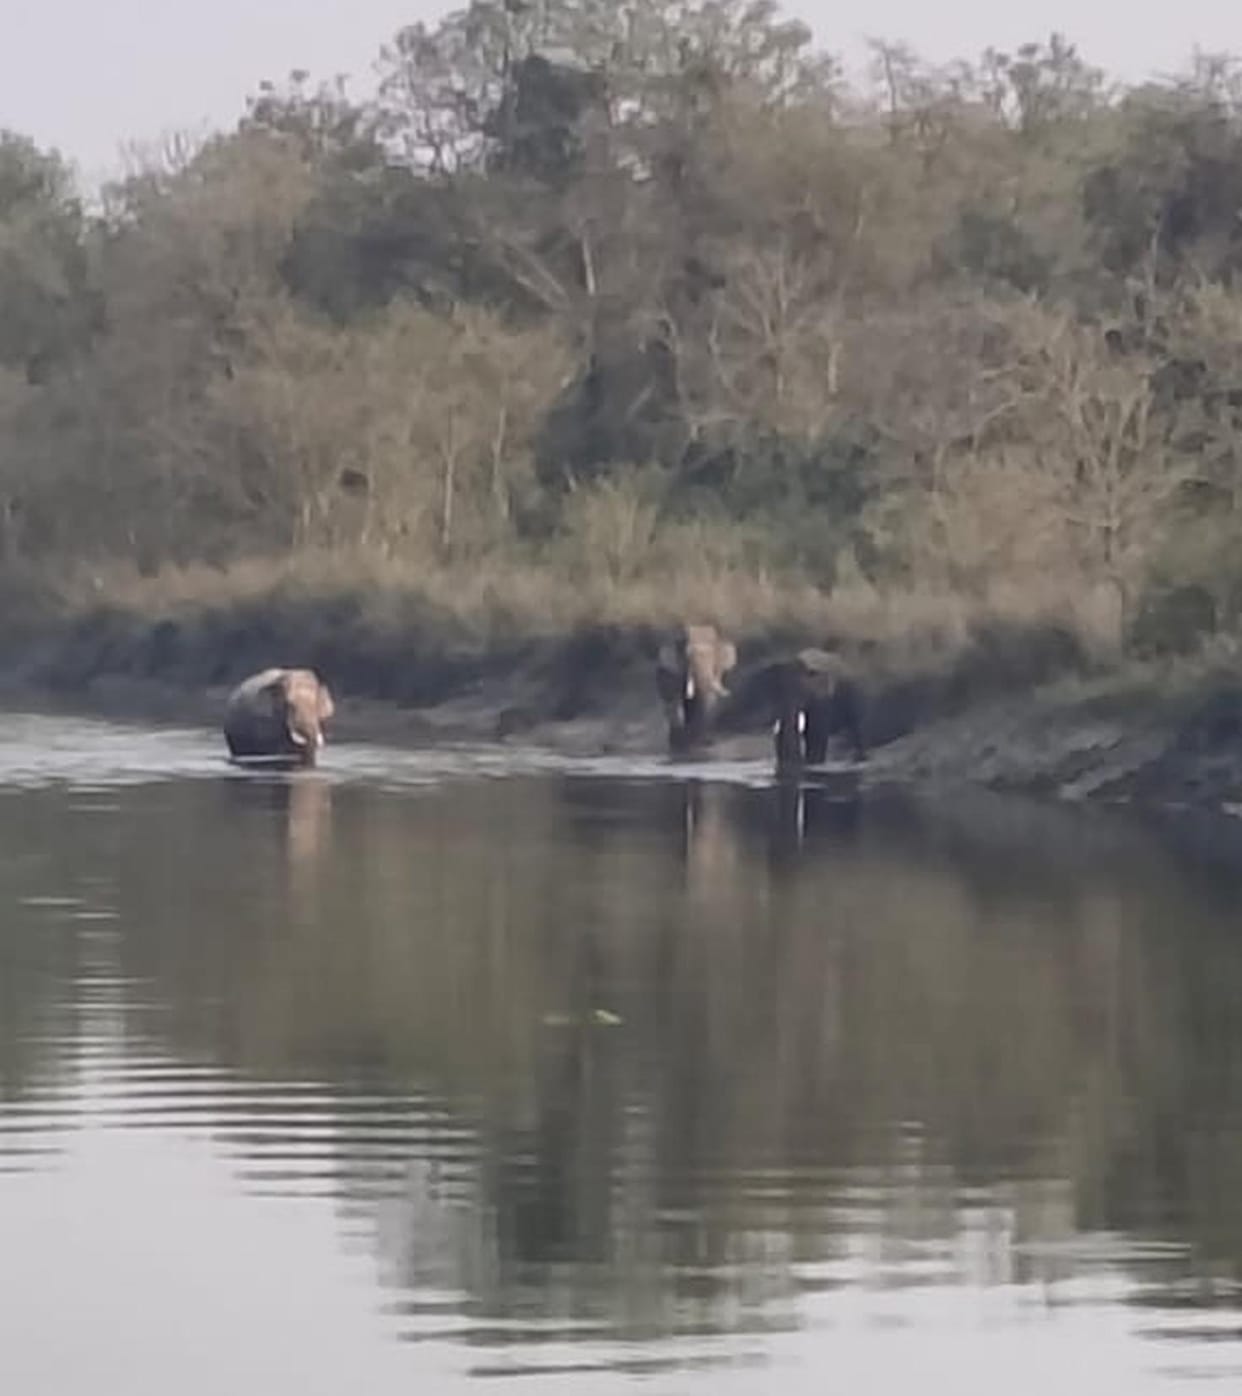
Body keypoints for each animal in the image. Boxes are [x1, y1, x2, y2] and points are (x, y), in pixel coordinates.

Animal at [655, 623, 737, 752]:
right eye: (687, 656)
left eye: (715, 657)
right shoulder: (670, 674)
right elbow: (674, 701)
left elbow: (710, 700)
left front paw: (701, 743)